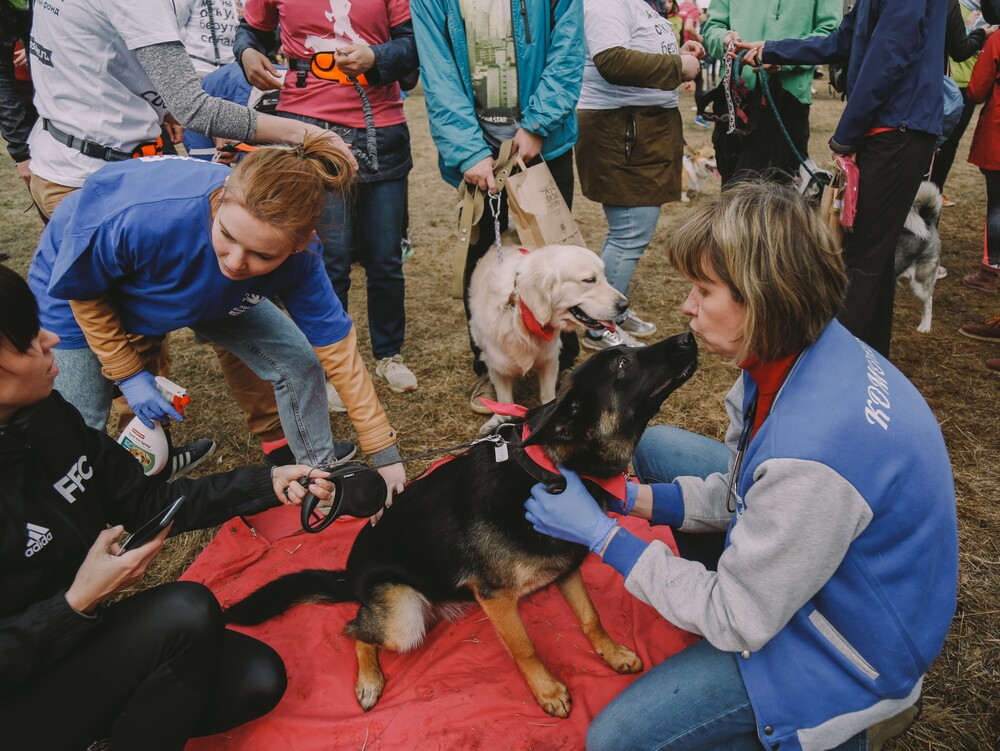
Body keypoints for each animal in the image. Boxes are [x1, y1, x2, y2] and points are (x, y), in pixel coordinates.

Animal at [224, 334, 700, 716]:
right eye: (622, 364)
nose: (688, 336)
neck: (548, 470)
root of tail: (349, 574)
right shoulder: (496, 598)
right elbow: (525, 648)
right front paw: (547, 691)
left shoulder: (566, 568)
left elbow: (591, 618)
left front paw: (613, 653)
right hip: (403, 618)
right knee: (355, 631)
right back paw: (369, 680)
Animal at [468, 245, 624, 408]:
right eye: (589, 280)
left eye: (605, 277)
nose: (625, 305)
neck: (522, 314)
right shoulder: (498, 368)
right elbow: (505, 403)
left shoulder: (549, 360)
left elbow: (548, 397)